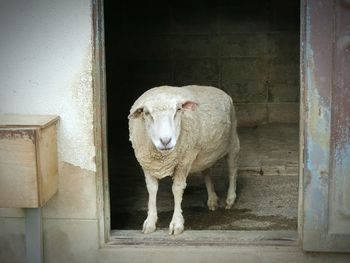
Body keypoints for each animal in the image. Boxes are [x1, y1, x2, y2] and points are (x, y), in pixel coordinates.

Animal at [129, 85, 241, 236]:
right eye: (146, 113)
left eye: (178, 110)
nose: (166, 141)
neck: (162, 156)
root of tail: (217, 89)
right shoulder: (147, 163)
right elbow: (151, 189)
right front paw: (150, 221)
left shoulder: (184, 161)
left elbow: (177, 189)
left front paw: (176, 223)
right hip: (203, 153)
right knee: (206, 172)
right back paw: (212, 199)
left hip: (232, 142)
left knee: (232, 170)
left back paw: (230, 198)